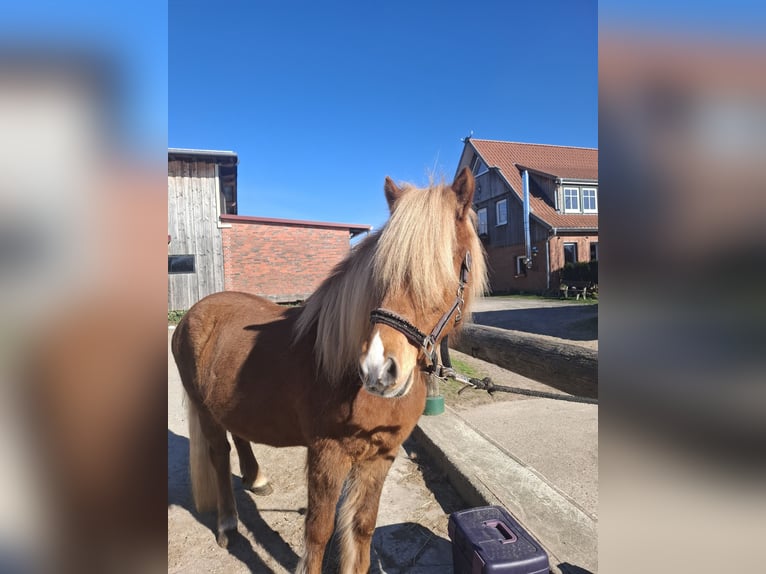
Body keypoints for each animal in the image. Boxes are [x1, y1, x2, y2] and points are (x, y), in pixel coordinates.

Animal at [171, 167, 487, 573]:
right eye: (380, 273)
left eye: (444, 267)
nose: (379, 370)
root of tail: (194, 313)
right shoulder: (327, 456)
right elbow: (319, 532)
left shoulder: (381, 457)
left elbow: (362, 528)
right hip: (205, 411)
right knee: (218, 453)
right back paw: (228, 524)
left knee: (238, 435)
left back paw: (257, 479)